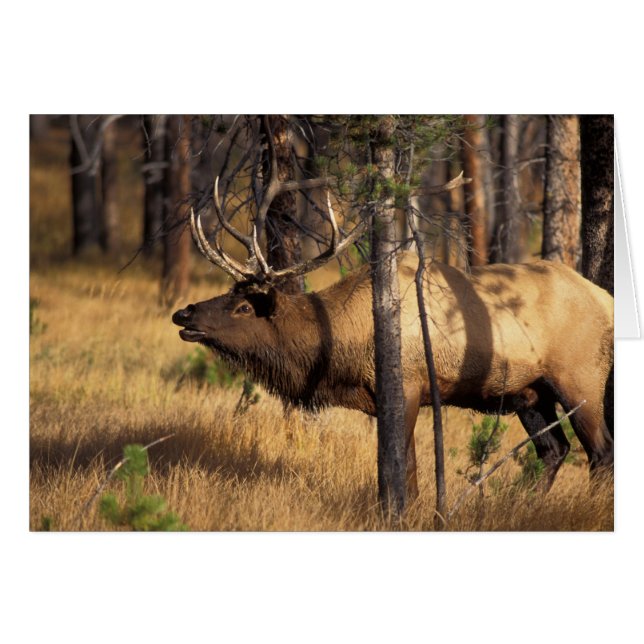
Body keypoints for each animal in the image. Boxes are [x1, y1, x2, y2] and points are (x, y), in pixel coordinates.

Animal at [172, 175, 614, 499]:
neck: (339, 353)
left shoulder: (408, 385)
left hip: (579, 378)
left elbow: (404, 467)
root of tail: (607, 302)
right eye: (228, 293)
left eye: (244, 307)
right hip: (529, 393)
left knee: (600, 451)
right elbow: (399, 466)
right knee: (554, 450)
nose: (184, 313)